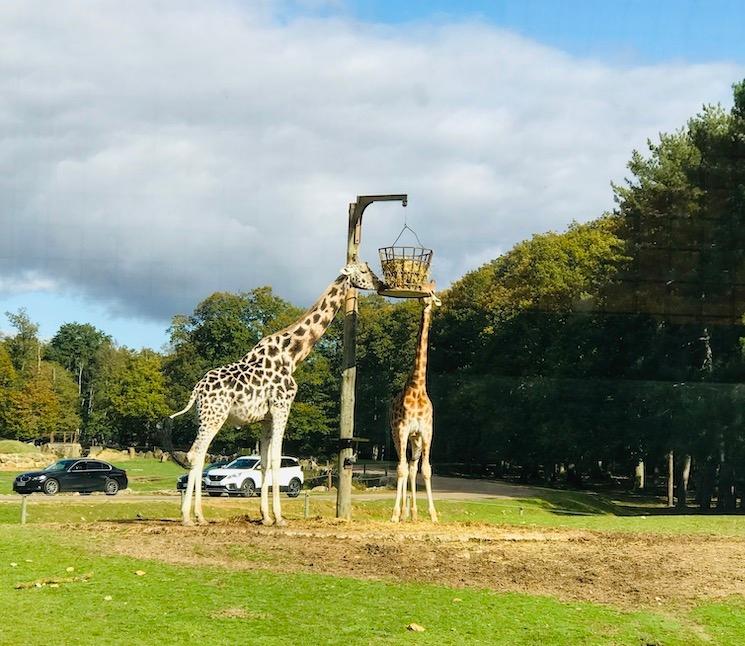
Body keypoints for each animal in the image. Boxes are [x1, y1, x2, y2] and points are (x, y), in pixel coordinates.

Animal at [172, 262, 384, 528]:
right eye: (364, 271)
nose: (380, 283)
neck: (292, 354)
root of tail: (197, 390)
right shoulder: (282, 406)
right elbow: (275, 459)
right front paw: (280, 517)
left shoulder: (265, 417)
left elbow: (263, 462)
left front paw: (265, 516)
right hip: (214, 417)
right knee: (195, 454)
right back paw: (188, 517)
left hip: (206, 418)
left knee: (199, 456)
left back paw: (199, 516)